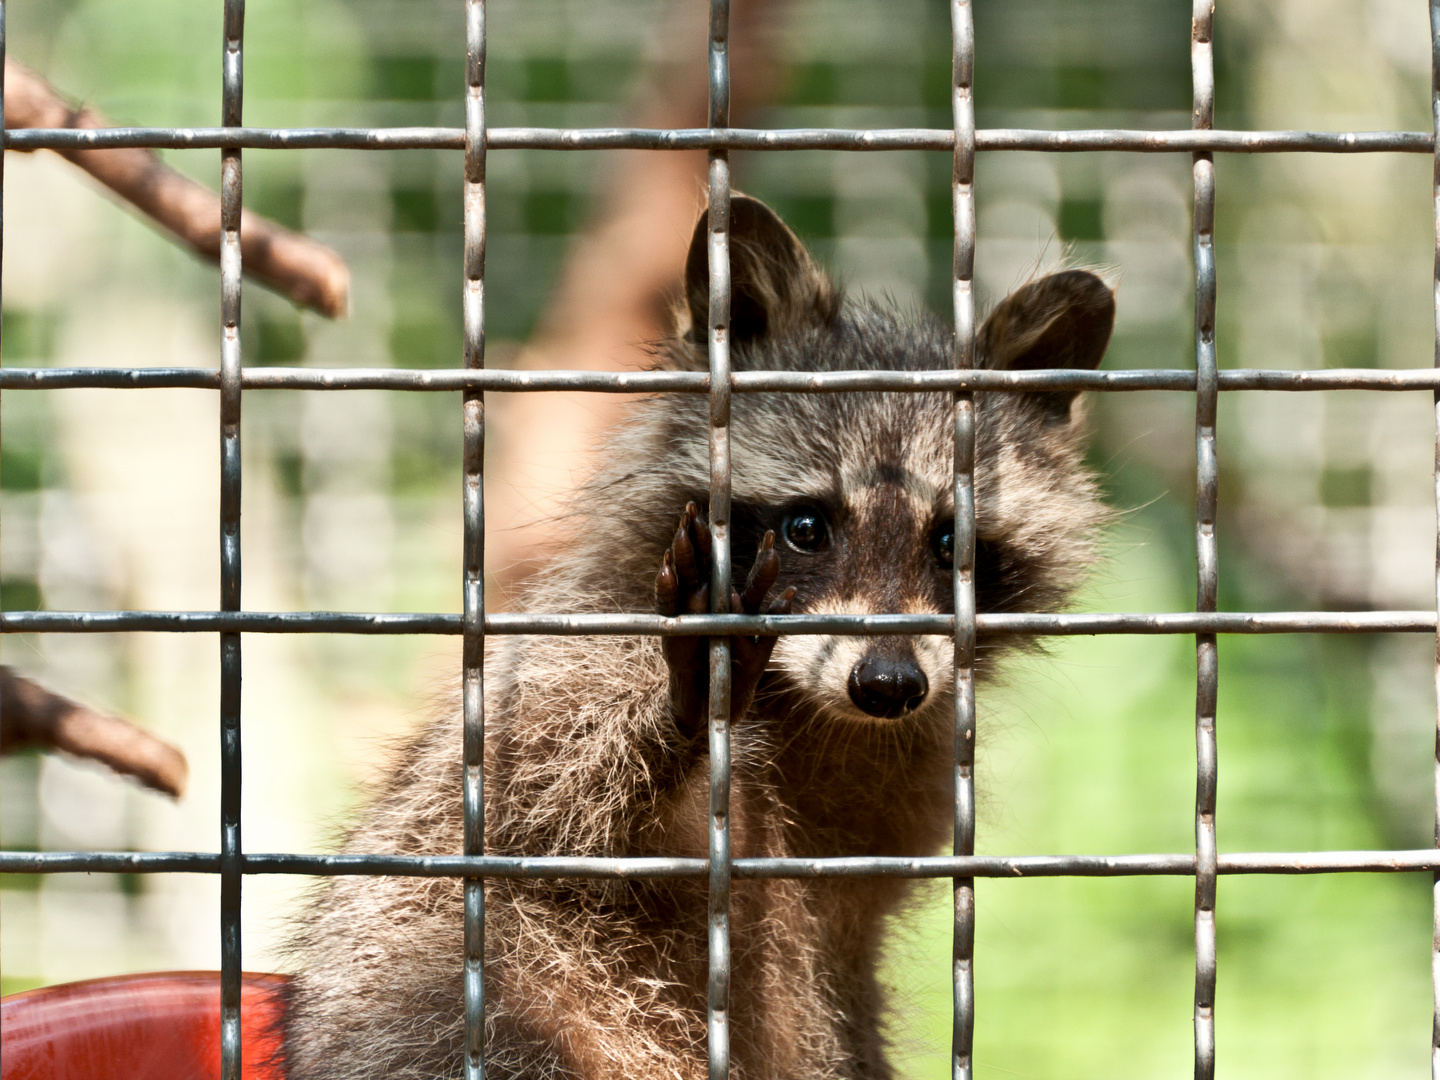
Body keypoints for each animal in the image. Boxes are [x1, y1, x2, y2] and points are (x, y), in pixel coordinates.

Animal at [280, 194, 1111, 1080]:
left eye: (952, 543)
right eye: (806, 527)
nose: (887, 684)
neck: (819, 715)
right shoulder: (574, 652)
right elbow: (547, 796)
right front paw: (681, 714)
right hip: (466, 989)